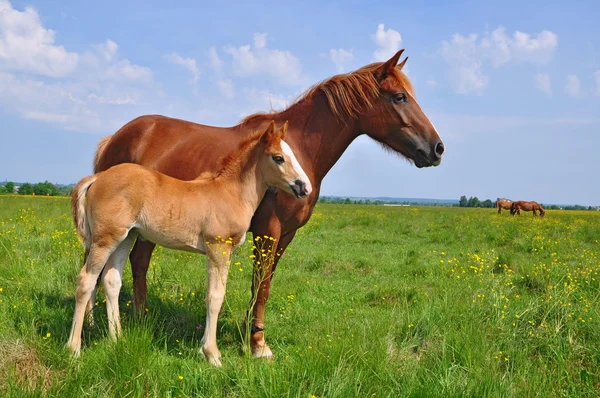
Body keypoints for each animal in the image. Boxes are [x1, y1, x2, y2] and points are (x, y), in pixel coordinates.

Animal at [67, 122, 310, 366]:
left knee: (111, 281)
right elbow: (215, 296)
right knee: (86, 280)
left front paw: (203, 349)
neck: (230, 193)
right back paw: (73, 348)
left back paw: (117, 339)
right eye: (278, 158)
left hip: (126, 237)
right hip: (105, 239)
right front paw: (212, 354)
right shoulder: (218, 248)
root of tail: (97, 177)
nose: (304, 187)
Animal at [94, 49, 446, 358]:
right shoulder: (269, 231)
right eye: (399, 97)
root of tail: (114, 138)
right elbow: (261, 284)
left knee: (138, 262)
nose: (437, 148)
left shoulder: (285, 234)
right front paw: (257, 345)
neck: (296, 149)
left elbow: (264, 284)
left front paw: (250, 334)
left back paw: (141, 320)